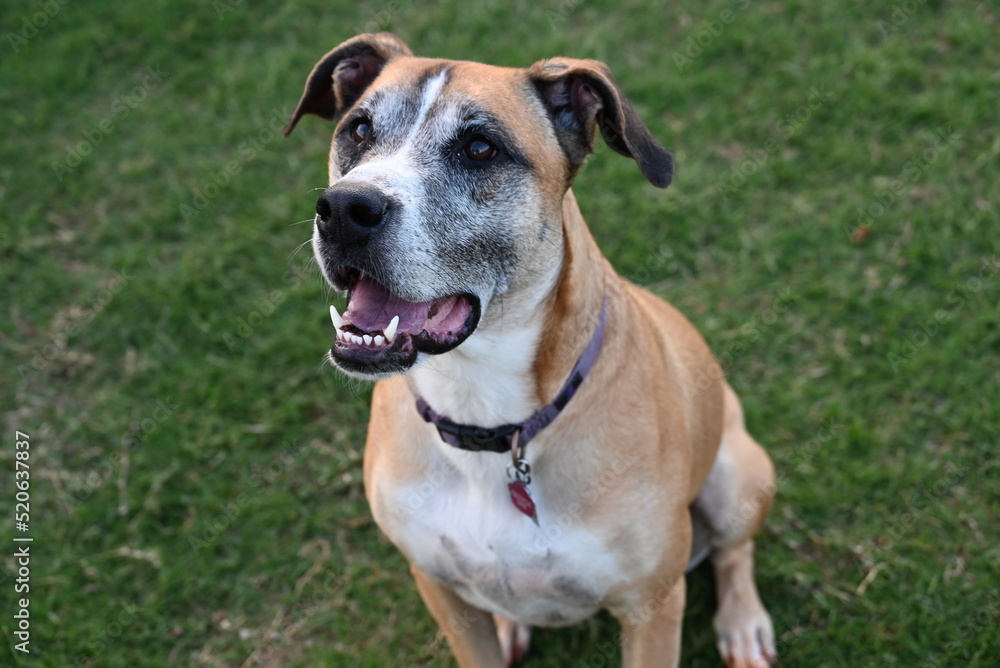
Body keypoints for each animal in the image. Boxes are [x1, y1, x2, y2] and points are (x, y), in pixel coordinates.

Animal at [286, 32, 776, 668]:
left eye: (479, 148)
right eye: (360, 130)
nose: (345, 209)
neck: (484, 413)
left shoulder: (651, 609)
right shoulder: (440, 589)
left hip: (737, 473)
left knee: (733, 550)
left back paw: (743, 624)